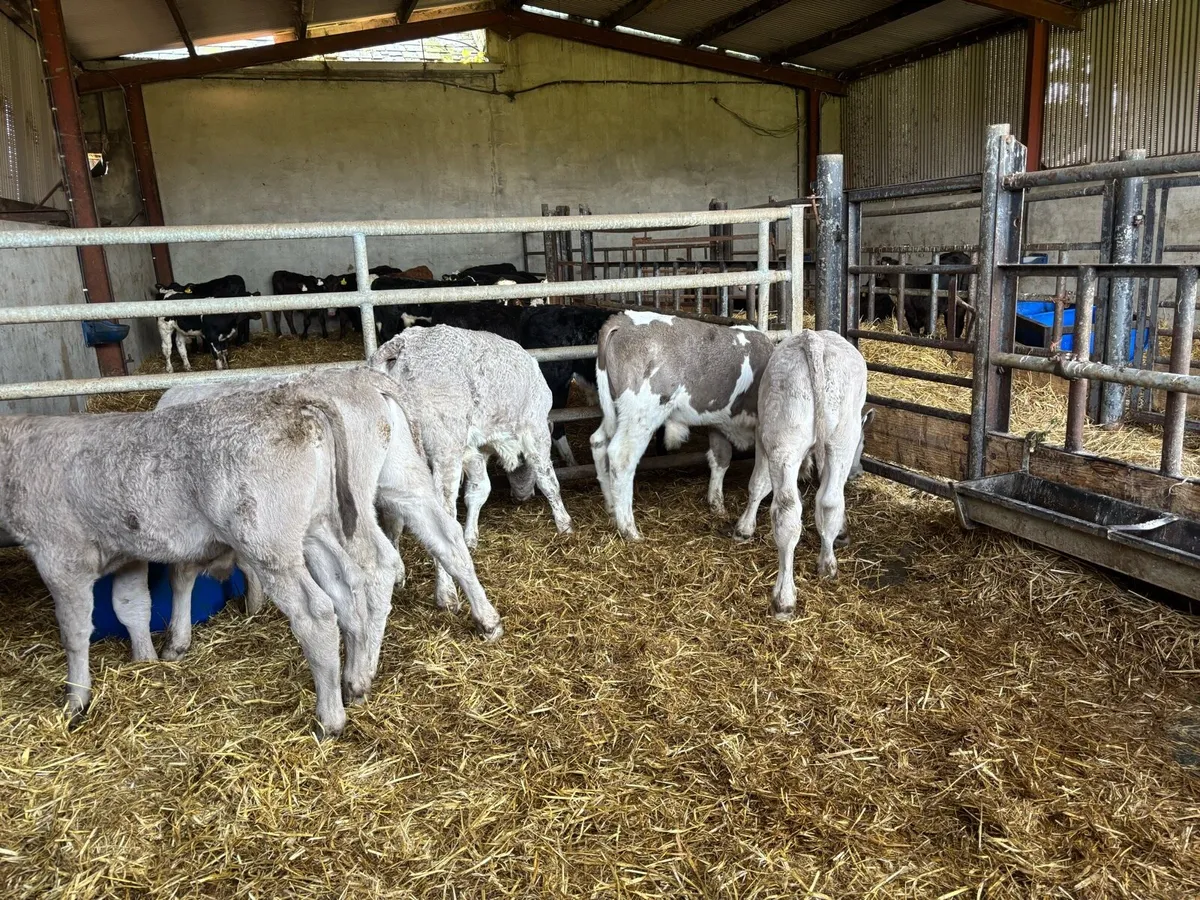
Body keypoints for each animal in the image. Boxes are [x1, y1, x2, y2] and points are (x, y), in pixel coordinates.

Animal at [0, 372, 415, 737]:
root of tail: (289, 398)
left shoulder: (60, 557)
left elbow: (73, 632)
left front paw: (76, 700)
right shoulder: (127, 552)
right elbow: (130, 605)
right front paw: (146, 659)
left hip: (268, 542)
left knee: (317, 613)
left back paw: (329, 718)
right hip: (317, 527)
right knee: (349, 589)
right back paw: (355, 683)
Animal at [370, 325, 573, 610]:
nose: (522, 496)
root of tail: (402, 344)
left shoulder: (473, 449)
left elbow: (479, 490)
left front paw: (471, 537)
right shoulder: (535, 430)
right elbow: (549, 481)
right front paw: (565, 524)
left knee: (392, 515)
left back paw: (397, 573)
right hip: (444, 451)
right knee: (441, 518)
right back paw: (446, 593)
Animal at [589, 311, 774, 541]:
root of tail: (623, 319)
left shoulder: (718, 421)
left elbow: (721, 459)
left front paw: (717, 505)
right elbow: (762, 480)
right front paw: (745, 528)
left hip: (615, 411)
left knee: (598, 442)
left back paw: (612, 507)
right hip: (641, 414)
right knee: (622, 457)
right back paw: (629, 530)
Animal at [730, 330, 872, 618]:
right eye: (863, 445)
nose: (858, 472)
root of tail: (815, 339)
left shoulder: (764, 436)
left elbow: (758, 484)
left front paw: (744, 528)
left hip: (785, 441)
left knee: (788, 510)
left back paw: (785, 595)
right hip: (841, 439)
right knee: (829, 501)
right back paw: (824, 566)